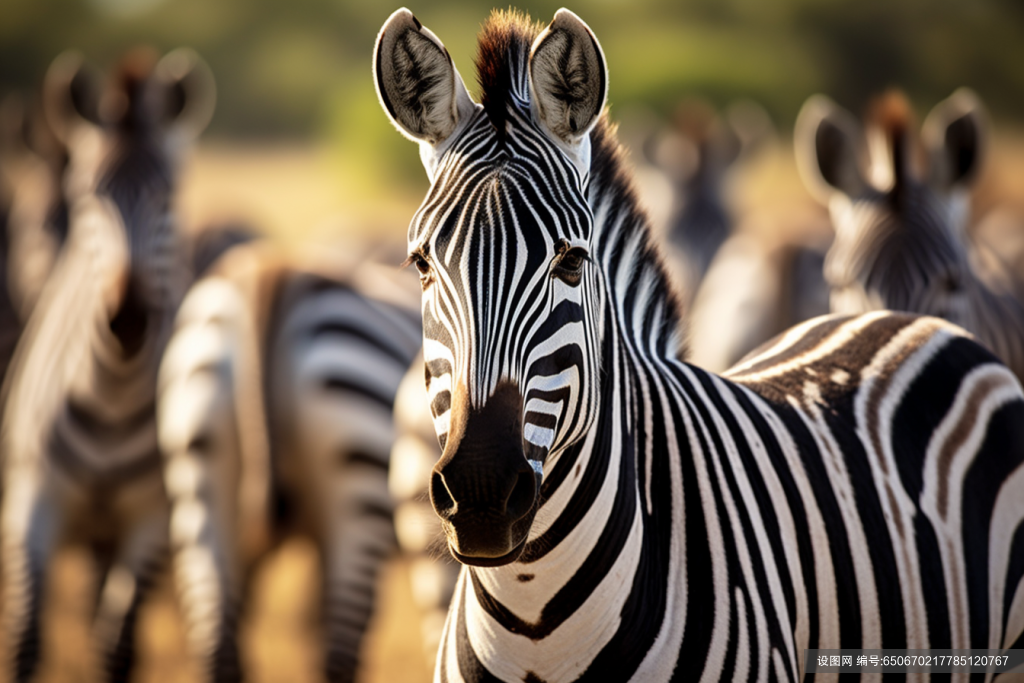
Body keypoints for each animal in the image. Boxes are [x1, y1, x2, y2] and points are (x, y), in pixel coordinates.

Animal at [0, 45, 211, 679]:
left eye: (168, 198)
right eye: (89, 195)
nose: (127, 322)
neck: (114, 393)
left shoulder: (152, 521)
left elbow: (116, 648)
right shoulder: (31, 504)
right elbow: (25, 642)